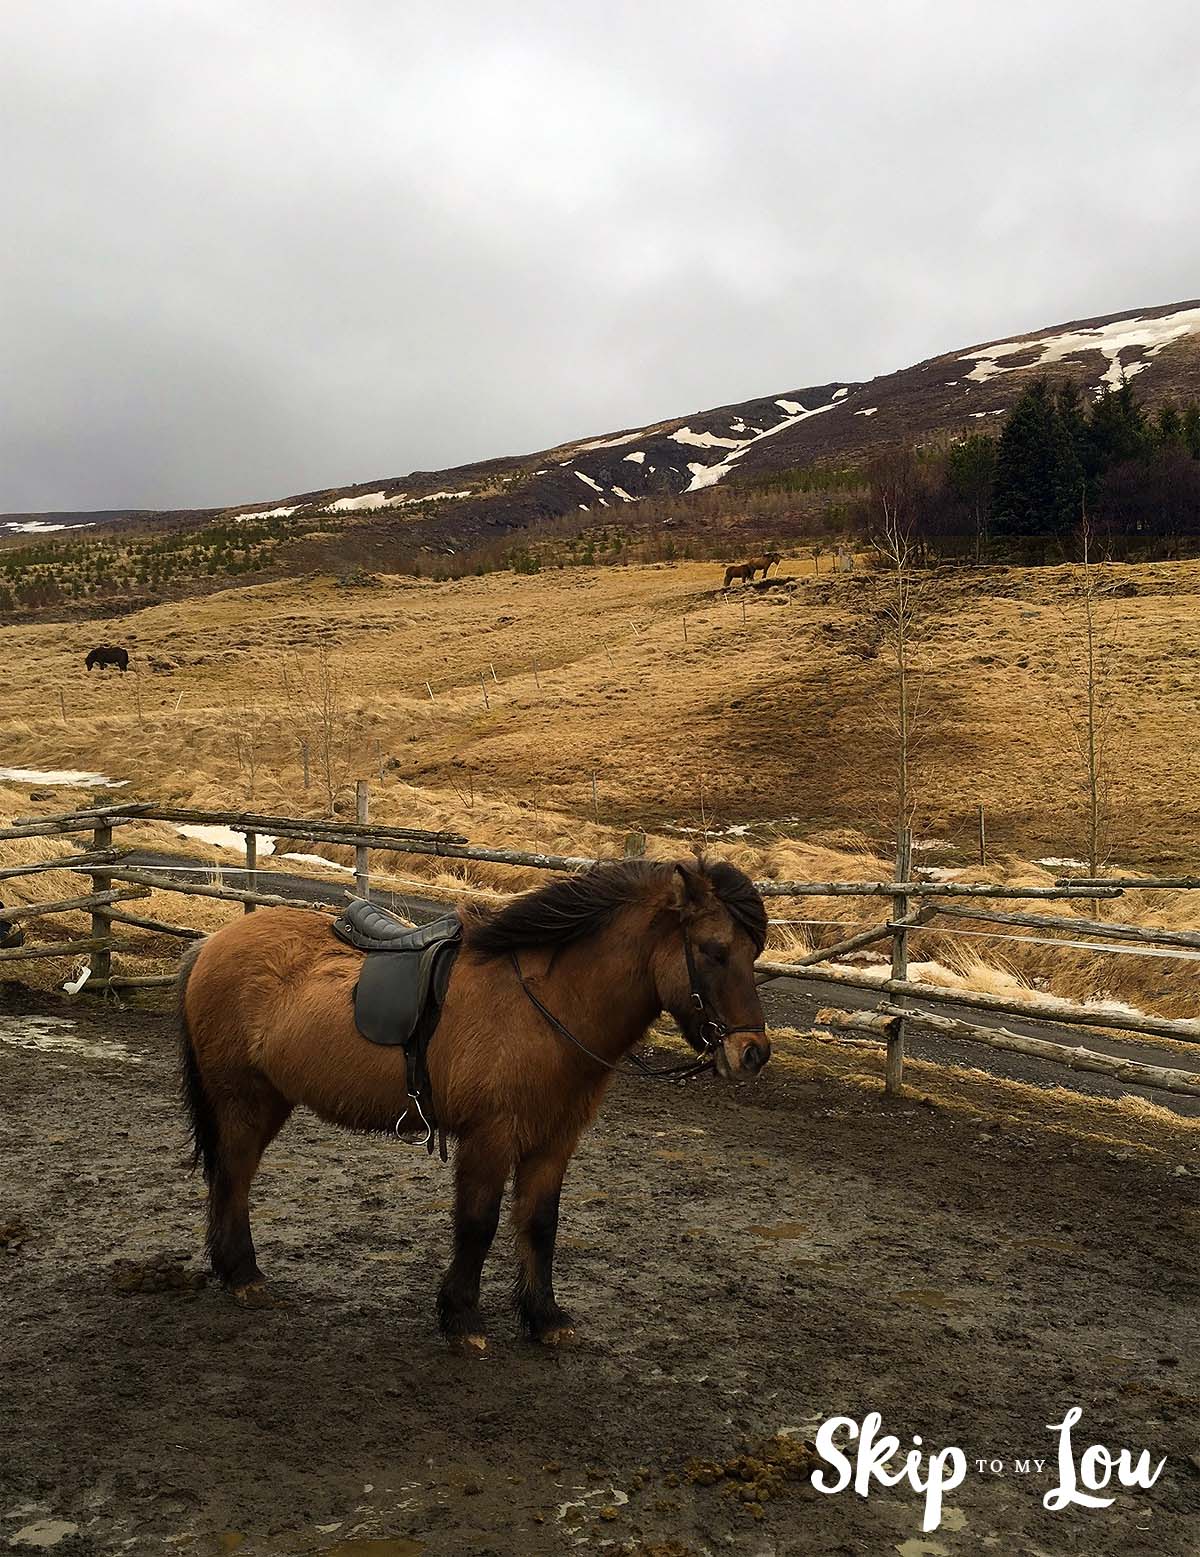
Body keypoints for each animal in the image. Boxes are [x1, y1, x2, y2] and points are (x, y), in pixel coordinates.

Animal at [178, 857, 770, 1349]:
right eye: (714, 950)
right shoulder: (491, 1136)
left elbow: (541, 1223)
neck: (546, 1005)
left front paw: (544, 1317)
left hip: (270, 1099)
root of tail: (212, 943)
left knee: (232, 1176)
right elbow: (478, 1223)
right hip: (244, 1100)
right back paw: (244, 1275)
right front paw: (462, 1317)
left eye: (753, 952)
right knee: (233, 1176)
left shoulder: (554, 1141)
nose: (752, 1053)